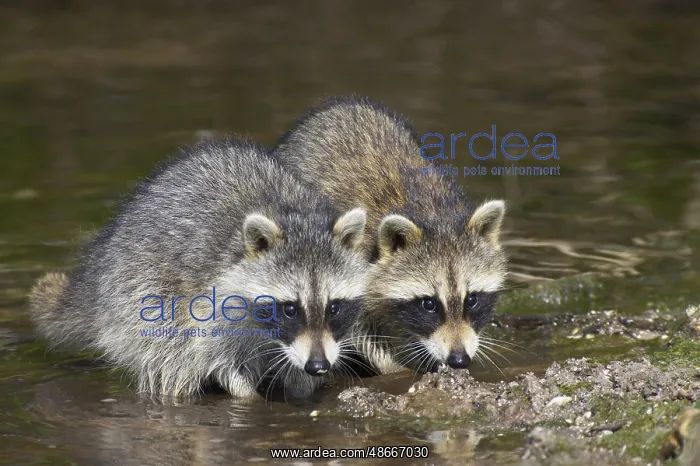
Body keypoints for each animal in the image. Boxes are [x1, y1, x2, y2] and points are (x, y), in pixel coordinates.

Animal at [28, 137, 369, 399]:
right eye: (289, 308)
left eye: (334, 306)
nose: (318, 366)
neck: (292, 215)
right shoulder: (211, 303)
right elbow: (217, 358)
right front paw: (248, 397)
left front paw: (303, 388)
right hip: (137, 288)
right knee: (169, 355)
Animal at [273, 96, 508, 375]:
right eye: (429, 304)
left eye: (471, 299)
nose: (458, 359)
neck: (434, 214)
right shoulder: (353, 267)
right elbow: (360, 331)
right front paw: (396, 369)